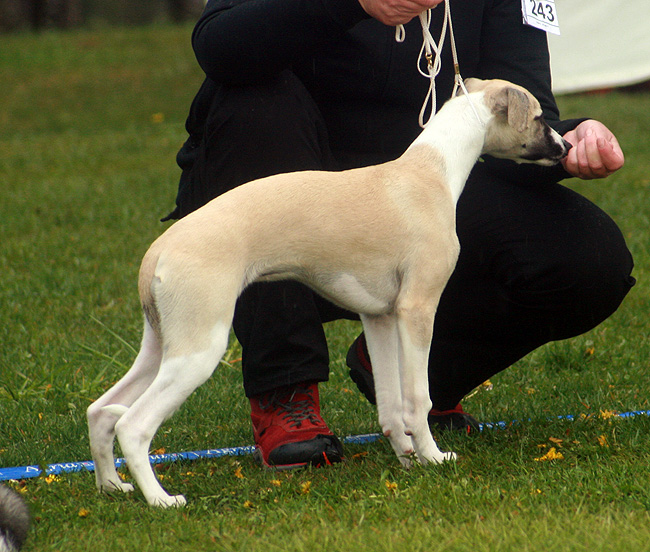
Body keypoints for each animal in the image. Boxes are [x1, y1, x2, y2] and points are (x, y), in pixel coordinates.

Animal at [85, 78, 568, 508]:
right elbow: (418, 397)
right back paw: (161, 500)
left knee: (102, 411)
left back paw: (112, 487)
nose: (565, 147)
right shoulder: (417, 309)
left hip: (163, 344)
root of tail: (157, 251)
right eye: (539, 117)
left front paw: (407, 458)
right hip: (199, 349)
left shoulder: (381, 317)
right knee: (133, 425)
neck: (432, 170)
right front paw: (432, 457)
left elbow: (391, 405)